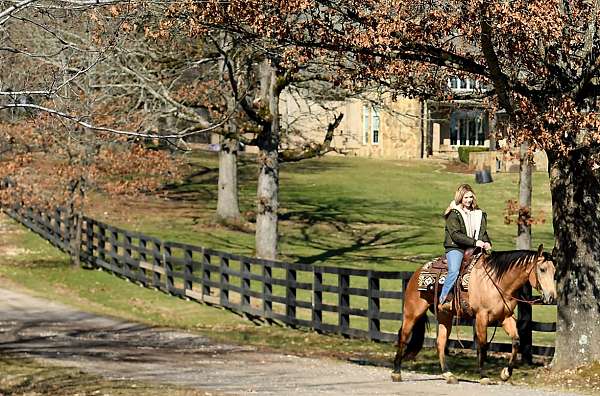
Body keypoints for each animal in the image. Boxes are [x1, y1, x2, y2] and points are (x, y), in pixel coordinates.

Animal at [392, 244, 556, 384]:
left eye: (554, 272)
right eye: (542, 269)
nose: (552, 297)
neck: (496, 281)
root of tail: (416, 273)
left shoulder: (506, 317)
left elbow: (516, 341)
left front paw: (505, 373)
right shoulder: (481, 317)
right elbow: (482, 345)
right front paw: (483, 376)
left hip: (445, 316)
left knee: (440, 342)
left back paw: (448, 375)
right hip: (412, 312)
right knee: (403, 337)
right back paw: (396, 373)